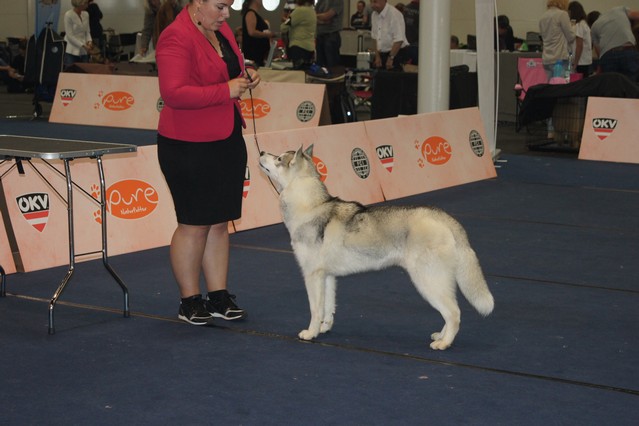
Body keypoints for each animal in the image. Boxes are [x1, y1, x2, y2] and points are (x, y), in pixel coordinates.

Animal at [258, 145, 494, 350]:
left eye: (279, 159)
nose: (260, 152)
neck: (310, 206)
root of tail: (443, 216)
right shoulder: (327, 276)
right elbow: (328, 307)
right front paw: (325, 328)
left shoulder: (312, 275)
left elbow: (315, 309)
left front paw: (311, 332)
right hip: (436, 281)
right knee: (450, 310)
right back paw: (442, 336)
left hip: (427, 280)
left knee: (454, 313)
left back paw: (444, 343)